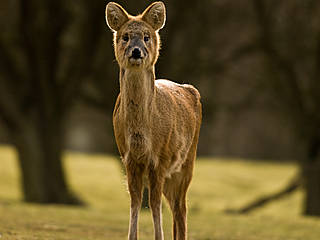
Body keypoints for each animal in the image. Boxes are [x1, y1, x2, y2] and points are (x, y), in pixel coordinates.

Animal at [105, 1, 202, 240]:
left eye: (147, 36)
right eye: (125, 36)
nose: (136, 51)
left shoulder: (160, 157)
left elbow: (154, 203)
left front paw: (159, 236)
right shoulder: (128, 157)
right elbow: (136, 200)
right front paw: (132, 236)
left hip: (187, 162)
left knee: (180, 207)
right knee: (174, 206)